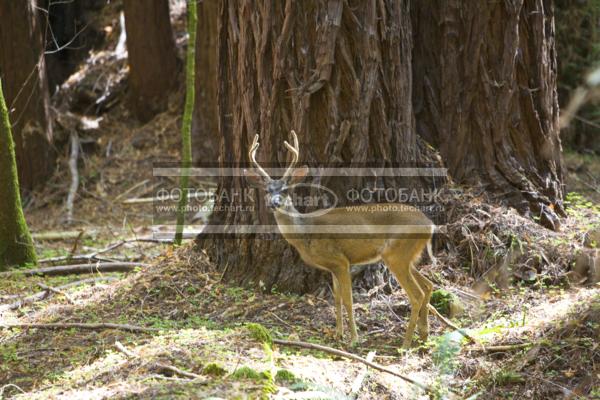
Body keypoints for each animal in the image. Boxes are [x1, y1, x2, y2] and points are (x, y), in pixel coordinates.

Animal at [244, 130, 436, 346]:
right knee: (428, 285)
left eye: (285, 189)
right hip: (406, 256)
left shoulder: (341, 261)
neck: (305, 232)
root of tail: (430, 225)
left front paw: (354, 338)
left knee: (417, 294)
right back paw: (424, 334)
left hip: (397, 254)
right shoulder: (332, 267)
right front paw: (338, 334)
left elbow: (348, 300)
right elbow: (336, 299)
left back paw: (405, 343)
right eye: (267, 190)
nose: (273, 203)